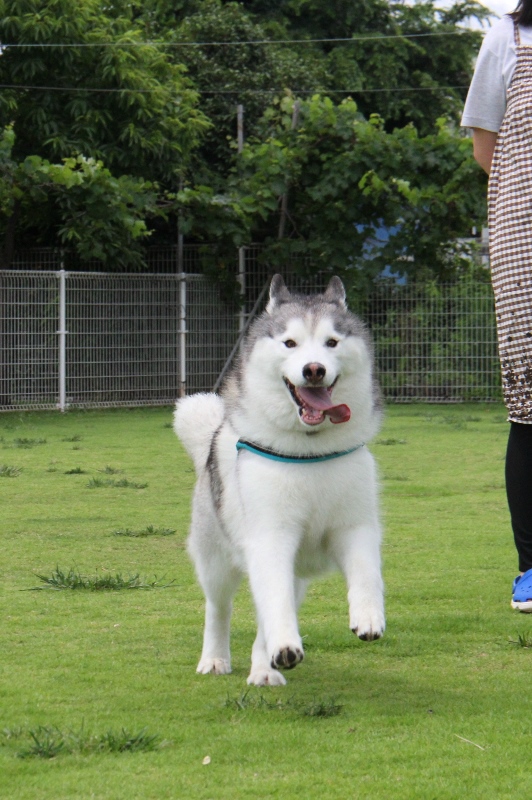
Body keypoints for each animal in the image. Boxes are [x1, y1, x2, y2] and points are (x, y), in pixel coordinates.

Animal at [177, 276, 384, 688]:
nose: (314, 369)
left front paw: (368, 616)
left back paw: (265, 667)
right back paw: (216, 658)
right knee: (219, 608)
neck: (310, 451)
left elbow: (366, 573)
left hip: (295, 572)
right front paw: (284, 642)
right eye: (290, 343)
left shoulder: (355, 527)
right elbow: (273, 604)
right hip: (216, 559)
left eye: (332, 342)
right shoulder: (271, 537)